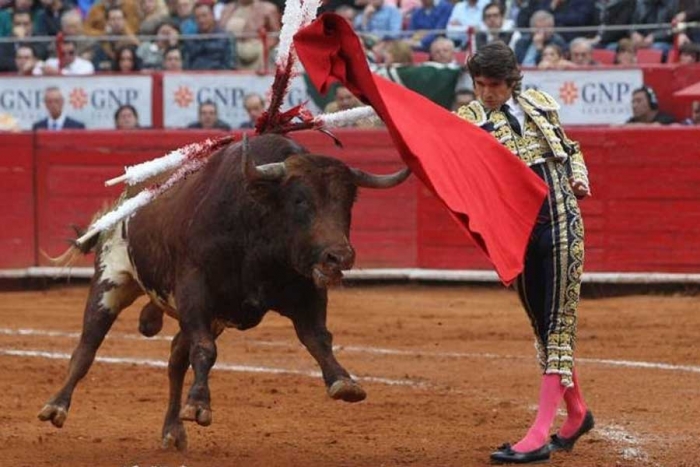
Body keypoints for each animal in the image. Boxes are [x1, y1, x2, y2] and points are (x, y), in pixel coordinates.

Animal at [37, 133, 410, 452]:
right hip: (111, 280)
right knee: (87, 347)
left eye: (349, 201)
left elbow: (318, 338)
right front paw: (199, 405)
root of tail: (125, 199)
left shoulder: (305, 290)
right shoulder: (195, 291)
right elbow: (205, 350)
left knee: (175, 359)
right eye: (300, 200)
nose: (339, 256)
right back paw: (55, 407)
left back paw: (173, 430)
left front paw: (343, 382)